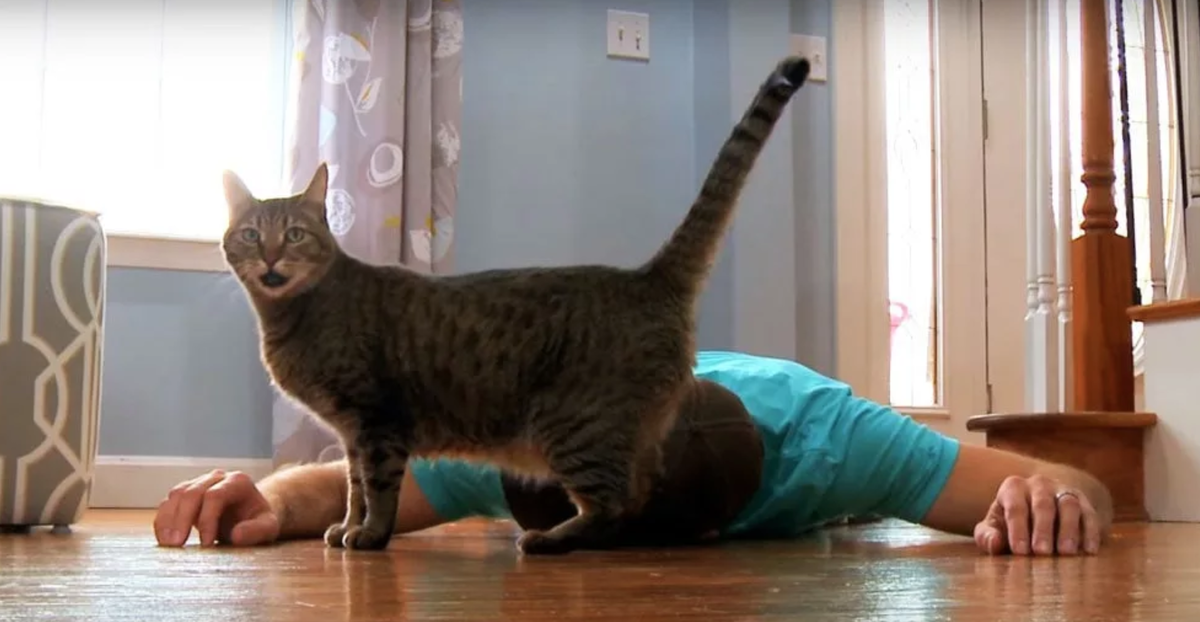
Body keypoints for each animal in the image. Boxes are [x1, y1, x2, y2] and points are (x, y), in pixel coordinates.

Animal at [221, 55, 810, 555]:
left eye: (294, 234)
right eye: (250, 235)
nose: (270, 256)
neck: (292, 315)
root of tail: (648, 276)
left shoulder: (375, 421)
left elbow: (378, 488)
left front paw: (369, 534)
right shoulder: (350, 434)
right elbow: (353, 488)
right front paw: (347, 525)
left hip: (571, 424)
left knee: (614, 502)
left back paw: (552, 538)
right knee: (640, 493)